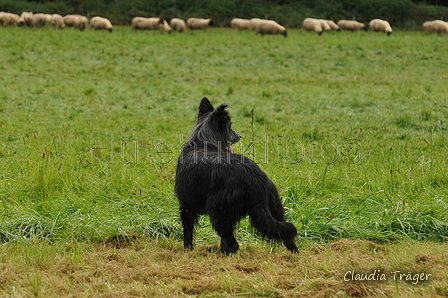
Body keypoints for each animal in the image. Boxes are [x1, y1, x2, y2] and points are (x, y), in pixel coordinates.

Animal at [174, 97, 298, 254]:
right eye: (230, 126)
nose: (239, 135)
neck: (202, 141)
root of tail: (255, 178)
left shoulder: (187, 206)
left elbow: (188, 231)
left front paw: (187, 250)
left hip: (219, 213)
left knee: (232, 243)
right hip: (275, 208)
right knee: (287, 235)